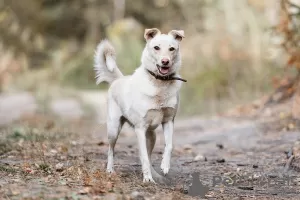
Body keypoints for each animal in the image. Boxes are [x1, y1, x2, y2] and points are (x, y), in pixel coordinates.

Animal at [94, 27, 186, 183]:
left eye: (172, 49)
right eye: (156, 47)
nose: (165, 61)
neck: (159, 84)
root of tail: (119, 79)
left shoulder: (168, 121)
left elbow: (169, 146)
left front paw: (164, 166)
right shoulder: (140, 129)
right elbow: (143, 156)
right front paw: (147, 179)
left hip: (152, 136)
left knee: (148, 155)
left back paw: (155, 174)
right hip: (113, 129)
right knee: (111, 150)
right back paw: (110, 170)